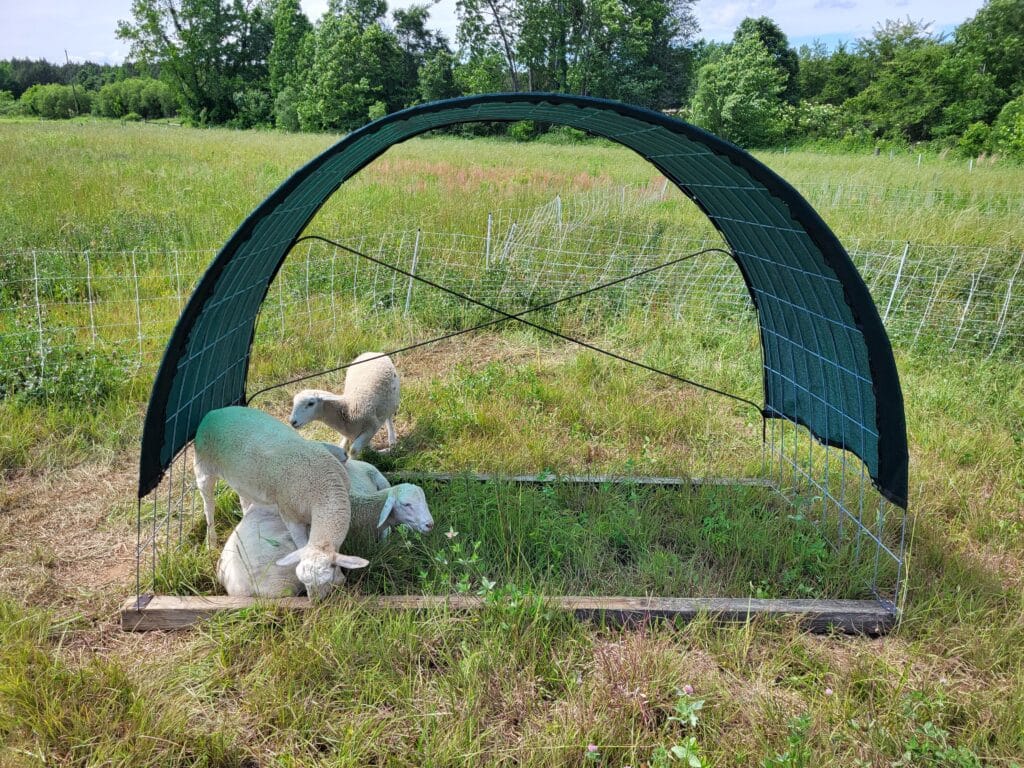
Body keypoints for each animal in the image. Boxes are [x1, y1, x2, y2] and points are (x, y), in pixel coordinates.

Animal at [193, 406, 368, 598]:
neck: (323, 489)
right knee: (208, 506)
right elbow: (301, 544)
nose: (316, 602)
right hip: (203, 469)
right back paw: (210, 542)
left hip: (241, 479)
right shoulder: (290, 515)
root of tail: (214, 412)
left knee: (243, 499)